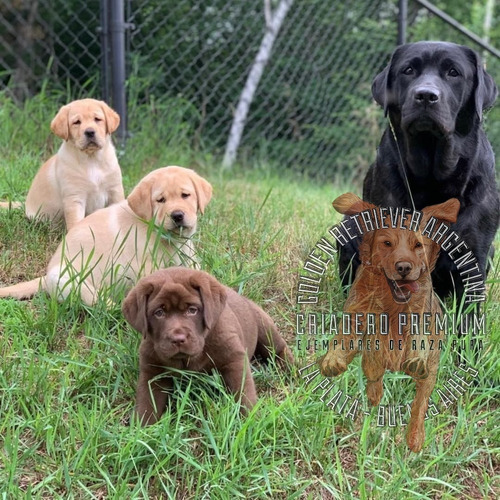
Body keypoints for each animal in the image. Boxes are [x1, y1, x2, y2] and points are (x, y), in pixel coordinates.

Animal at [0, 98, 125, 230]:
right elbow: (75, 222)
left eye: (97, 119)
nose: (90, 132)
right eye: (76, 122)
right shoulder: (74, 198)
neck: (92, 160)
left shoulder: (115, 191)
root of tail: (25, 204)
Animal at [0, 166, 212, 304]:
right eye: (160, 200)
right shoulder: (148, 267)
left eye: (185, 195)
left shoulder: (189, 260)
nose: (177, 215)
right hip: (73, 281)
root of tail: (45, 278)